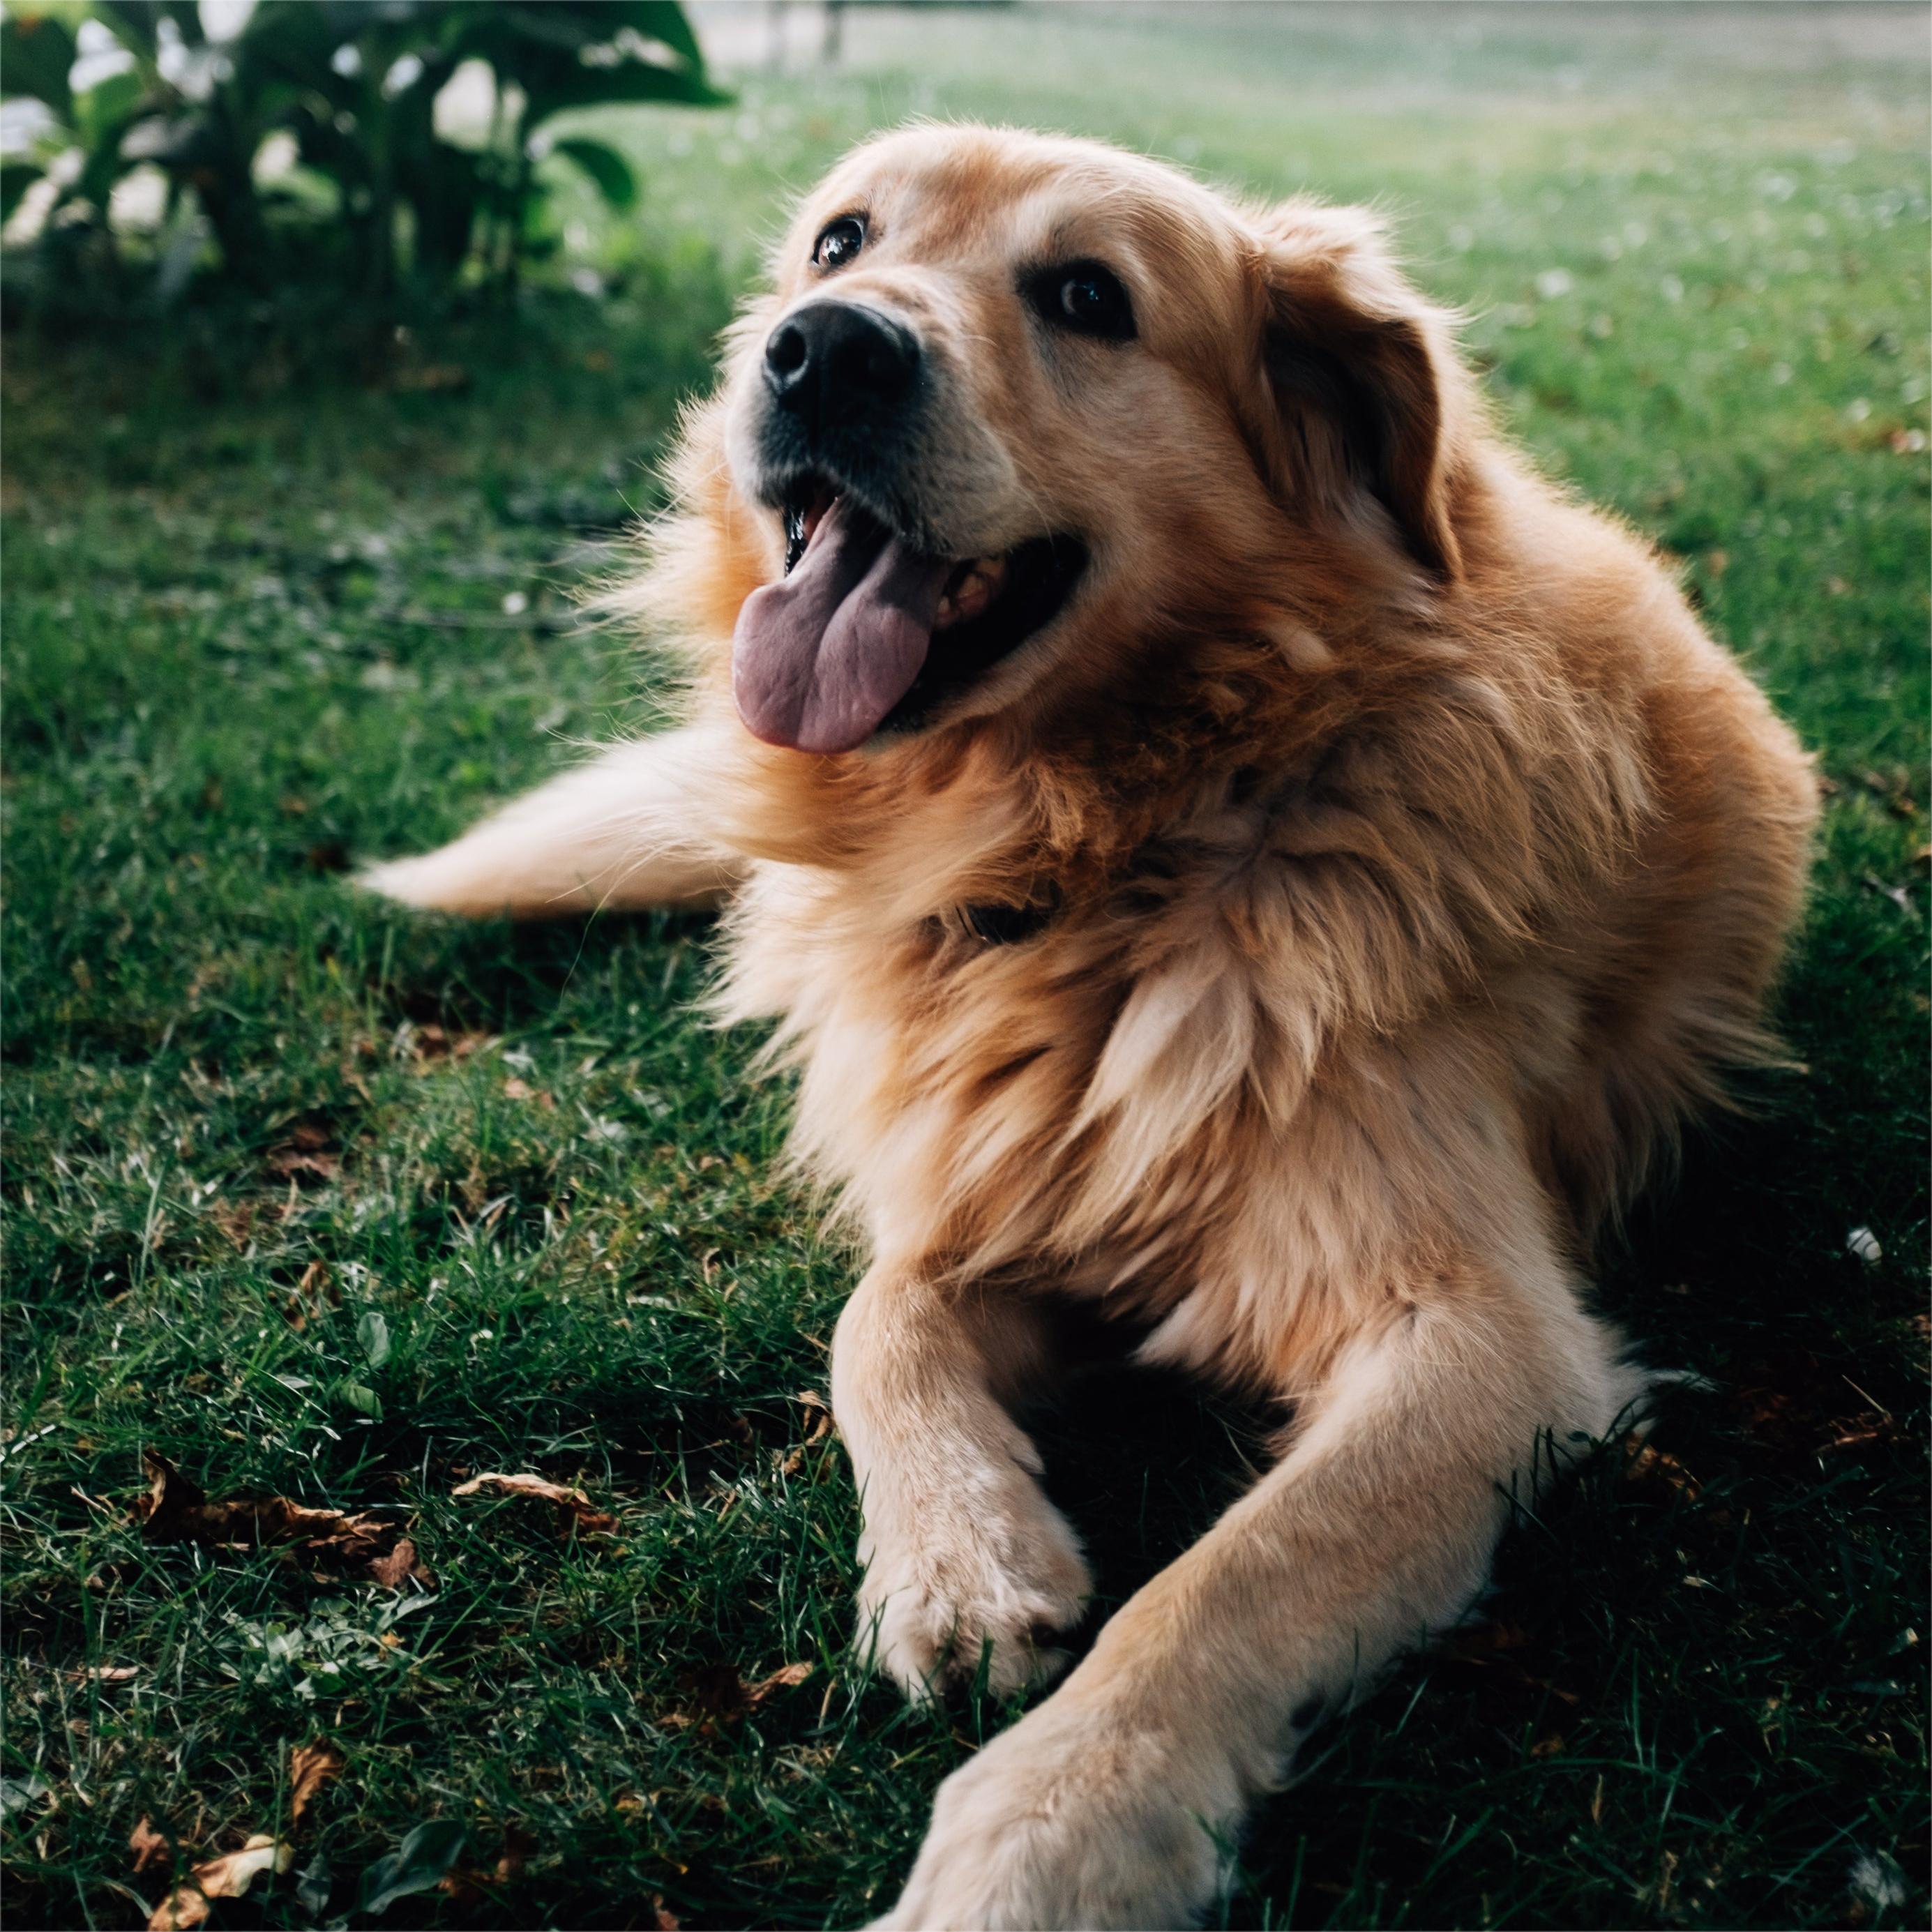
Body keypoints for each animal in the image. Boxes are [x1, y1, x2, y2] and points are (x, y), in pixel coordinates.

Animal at [365, 128, 1823, 1924]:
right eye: (837, 240)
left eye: (1084, 297)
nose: (823, 350)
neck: (1110, 855)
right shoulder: (1004, 1185)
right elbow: (873, 1319)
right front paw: (958, 1556)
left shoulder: (1481, 1340)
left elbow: (1230, 1576)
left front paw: (1044, 1832)